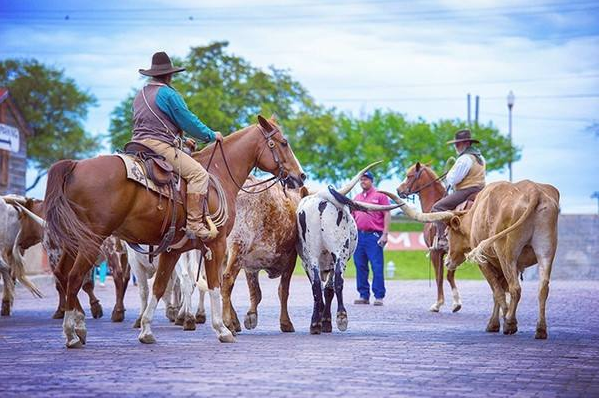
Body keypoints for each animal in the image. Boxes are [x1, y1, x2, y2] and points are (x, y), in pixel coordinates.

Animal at [44, 116, 304, 350]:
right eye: (283, 143)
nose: (300, 176)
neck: (218, 174)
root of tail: (74, 166)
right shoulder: (216, 244)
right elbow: (215, 284)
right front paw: (222, 329)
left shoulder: (173, 249)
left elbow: (159, 287)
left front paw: (146, 330)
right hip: (91, 242)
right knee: (74, 279)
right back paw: (72, 334)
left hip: (73, 243)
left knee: (64, 276)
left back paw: (78, 327)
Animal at [296, 162, 398, 334]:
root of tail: (320, 199)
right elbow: (328, 289)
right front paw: (326, 321)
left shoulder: (312, 263)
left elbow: (323, 289)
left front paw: (323, 320)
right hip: (337, 253)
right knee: (336, 280)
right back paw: (340, 317)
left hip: (315, 254)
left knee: (318, 284)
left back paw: (317, 323)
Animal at [398, 162, 464, 312]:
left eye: (409, 175)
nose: (399, 190)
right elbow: (449, 276)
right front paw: (456, 303)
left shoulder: (436, 252)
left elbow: (439, 277)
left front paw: (438, 303)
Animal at [442, 181, 560, 340]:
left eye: (447, 234)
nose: (447, 262)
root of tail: (534, 190)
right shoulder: (503, 266)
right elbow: (499, 290)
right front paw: (495, 322)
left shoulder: (484, 262)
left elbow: (497, 291)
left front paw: (503, 318)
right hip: (545, 252)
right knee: (543, 288)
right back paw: (541, 329)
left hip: (507, 254)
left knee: (515, 288)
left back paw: (510, 322)